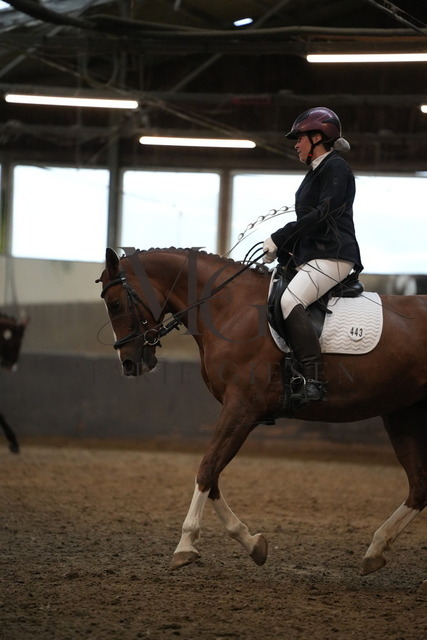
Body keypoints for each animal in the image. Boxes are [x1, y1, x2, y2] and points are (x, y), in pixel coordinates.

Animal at [97, 247, 427, 584]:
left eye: (115, 303)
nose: (129, 364)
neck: (229, 307)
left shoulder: (242, 407)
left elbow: (206, 469)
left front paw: (186, 544)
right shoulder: (237, 411)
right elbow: (213, 475)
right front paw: (251, 542)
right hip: (401, 413)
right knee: (419, 487)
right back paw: (376, 550)